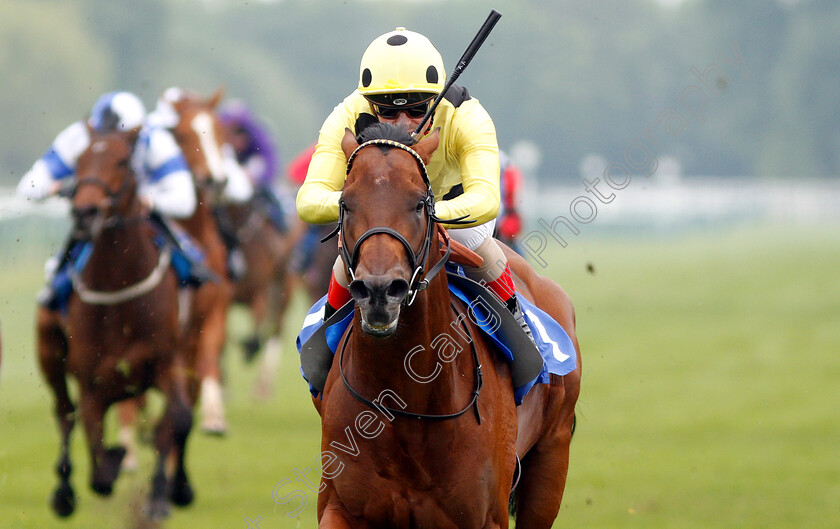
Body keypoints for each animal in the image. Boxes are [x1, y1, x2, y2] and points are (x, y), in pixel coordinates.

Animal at [316, 125, 584, 528]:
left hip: (551, 459)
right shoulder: (339, 507)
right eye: (345, 203)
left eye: (418, 204)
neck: (405, 402)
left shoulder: (484, 517)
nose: (379, 290)